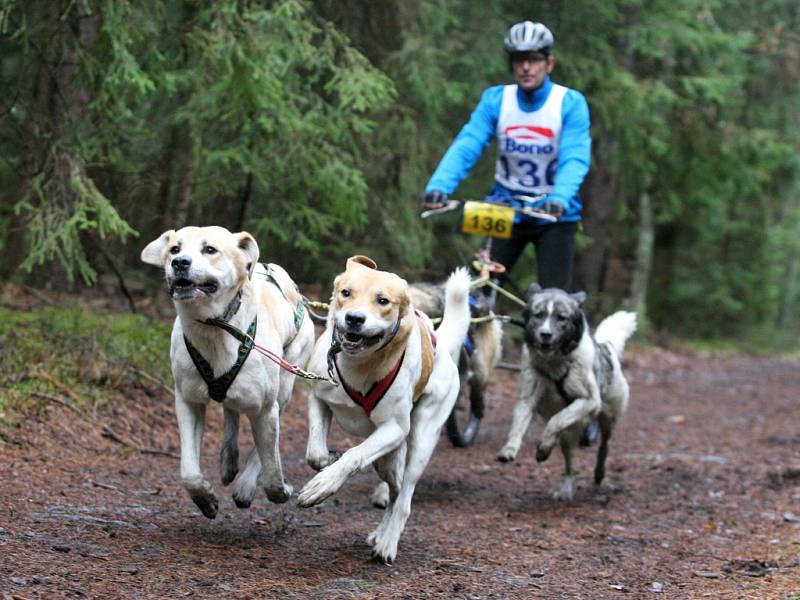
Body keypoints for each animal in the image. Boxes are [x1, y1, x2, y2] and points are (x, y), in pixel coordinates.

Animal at [139, 227, 314, 516]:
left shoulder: (266, 410)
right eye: (174, 249)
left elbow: (270, 469)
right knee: (231, 410)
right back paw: (228, 459)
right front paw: (205, 498)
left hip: (286, 383)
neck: (215, 326)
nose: (179, 263)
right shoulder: (188, 401)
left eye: (210, 249)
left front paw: (274, 490)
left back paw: (243, 483)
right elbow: (189, 471)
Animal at [300, 256, 476, 564]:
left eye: (382, 300)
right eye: (346, 293)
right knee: (393, 490)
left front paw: (324, 484)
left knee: (404, 497)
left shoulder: (394, 428)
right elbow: (316, 453)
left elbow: (354, 456)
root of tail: (440, 344)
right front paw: (329, 459)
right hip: (388, 460)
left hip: (420, 439)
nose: (354, 318)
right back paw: (381, 533)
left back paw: (388, 543)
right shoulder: (319, 399)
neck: (359, 365)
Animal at [496, 286, 636, 502]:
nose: (545, 334)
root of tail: (607, 347)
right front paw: (509, 449)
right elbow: (518, 427)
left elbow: (556, 420)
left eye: (561, 318)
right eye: (539, 315)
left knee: (605, 445)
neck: (554, 365)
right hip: (568, 440)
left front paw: (544, 445)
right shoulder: (527, 399)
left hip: (608, 418)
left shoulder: (589, 401)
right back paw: (565, 489)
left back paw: (598, 472)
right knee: (569, 465)